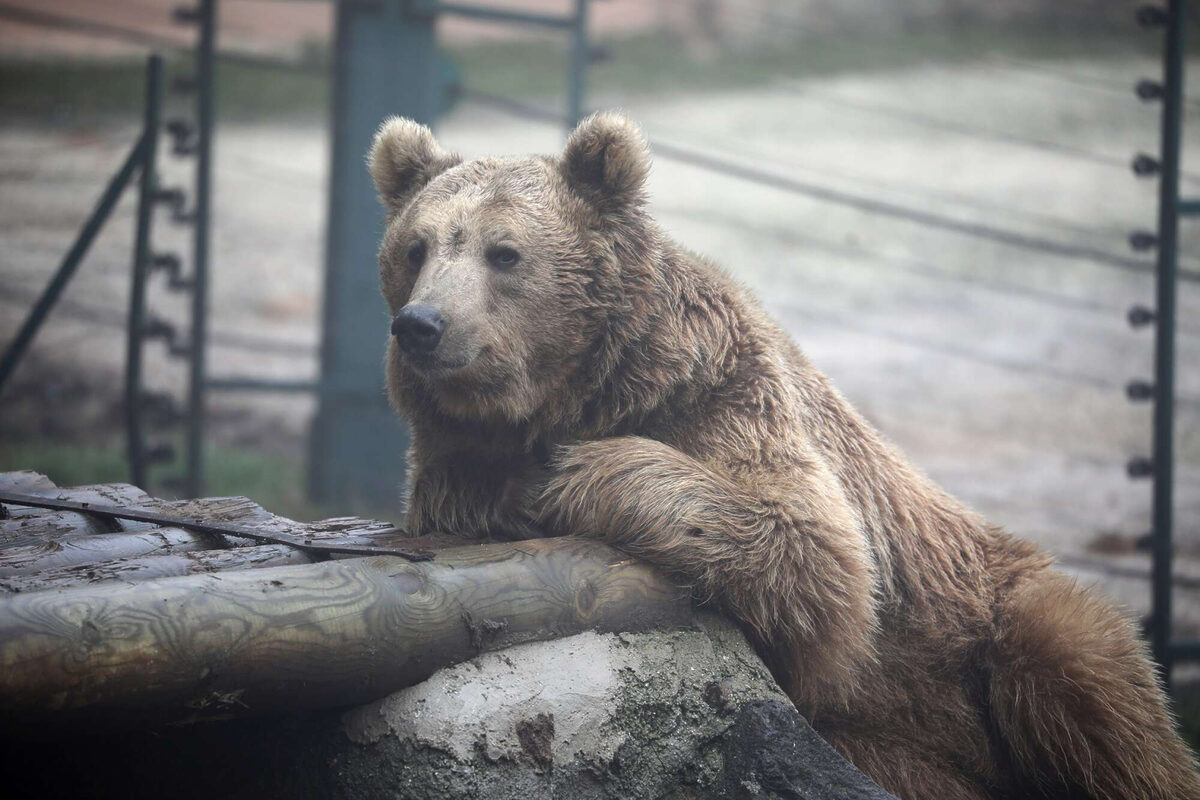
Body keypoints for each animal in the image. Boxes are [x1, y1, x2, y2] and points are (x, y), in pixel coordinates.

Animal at [364, 112, 1200, 800]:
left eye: (503, 252)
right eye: (417, 246)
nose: (423, 325)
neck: (583, 390)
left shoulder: (726, 396)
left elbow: (810, 548)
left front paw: (570, 475)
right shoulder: (456, 469)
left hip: (980, 625)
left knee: (1080, 672)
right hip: (892, 742)